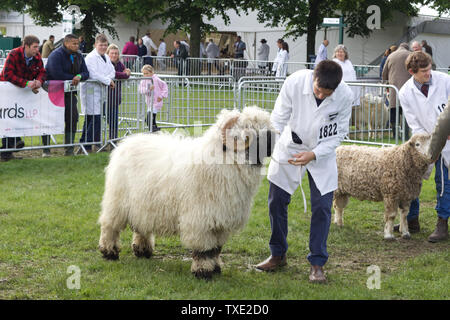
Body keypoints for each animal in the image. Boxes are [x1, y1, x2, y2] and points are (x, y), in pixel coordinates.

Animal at [97, 106, 278, 278]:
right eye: (250, 130)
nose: (274, 140)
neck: (224, 164)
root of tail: (127, 142)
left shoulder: (220, 220)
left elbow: (216, 249)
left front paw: (216, 268)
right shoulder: (200, 220)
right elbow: (204, 250)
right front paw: (203, 271)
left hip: (143, 204)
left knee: (141, 226)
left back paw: (143, 251)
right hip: (117, 201)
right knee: (109, 226)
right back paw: (109, 252)